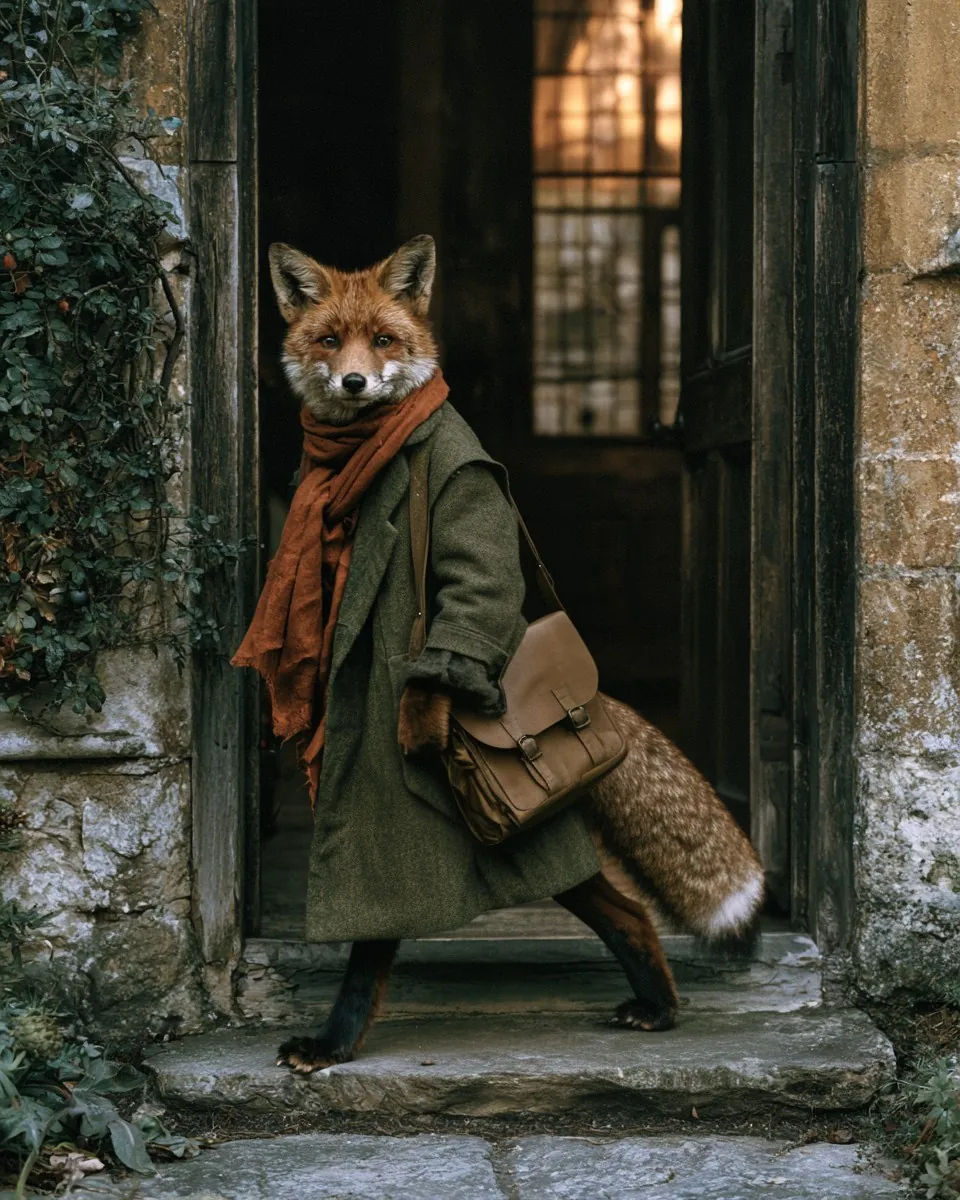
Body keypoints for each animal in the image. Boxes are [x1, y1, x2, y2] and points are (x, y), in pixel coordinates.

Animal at [265, 235, 765, 1074]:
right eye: (330, 341)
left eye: (384, 341)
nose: (356, 380)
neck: (359, 457)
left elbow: (368, 950)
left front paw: (334, 1042)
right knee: (627, 911)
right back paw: (657, 1006)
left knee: (627, 908)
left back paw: (660, 1008)